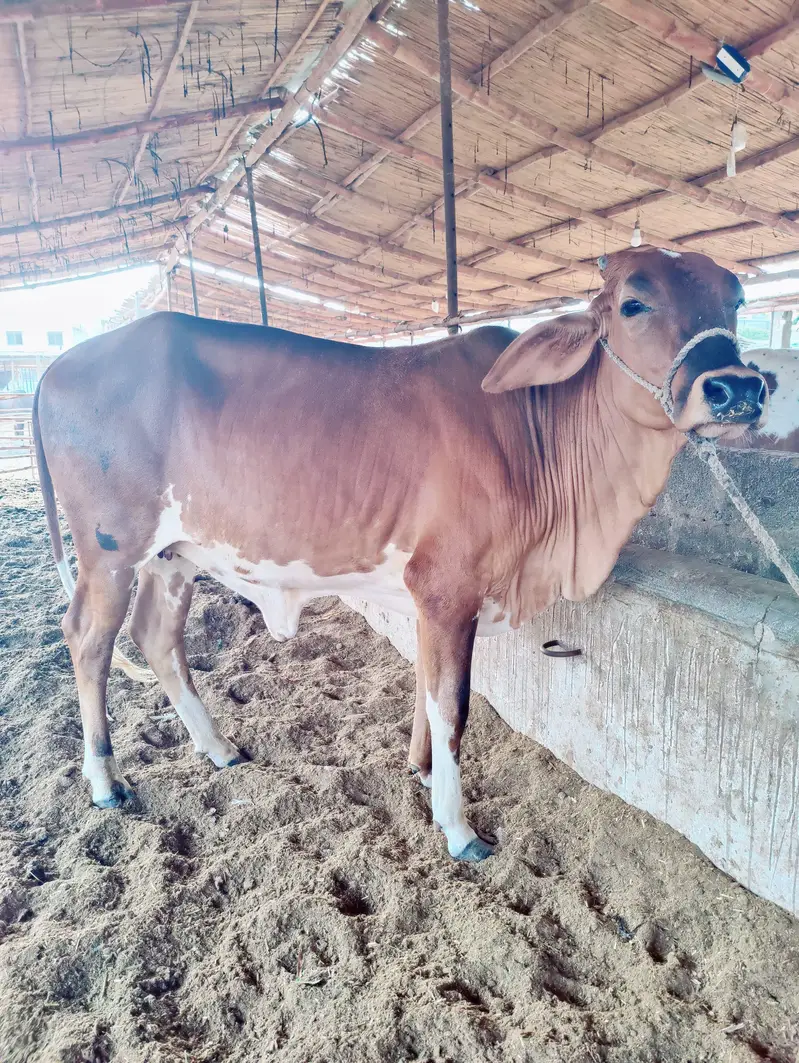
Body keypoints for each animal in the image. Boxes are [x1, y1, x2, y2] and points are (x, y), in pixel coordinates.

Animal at [33, 246, 767, 862]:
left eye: (734, 300)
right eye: (634, 302)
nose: (738, 387)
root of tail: (56, 366)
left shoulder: (426, 594)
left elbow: (425, 686)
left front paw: (419, 767)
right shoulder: (447, 585)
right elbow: (453, 706)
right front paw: (458, 827)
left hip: (174, 555)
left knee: (157, 636)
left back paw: (219, 749)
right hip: (110, 550)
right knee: (88, 640)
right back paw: (105, 782)